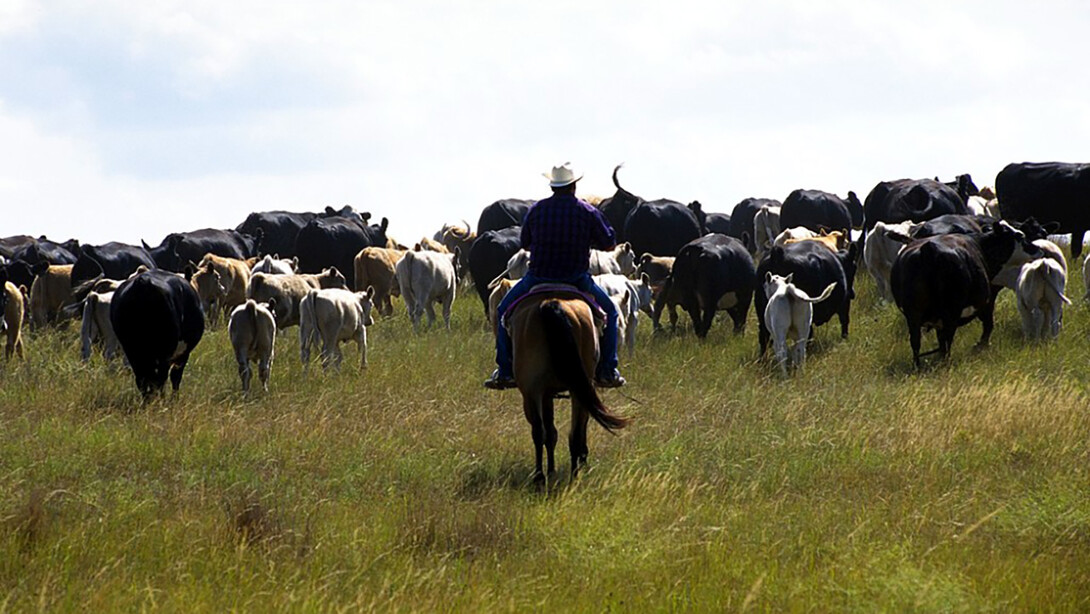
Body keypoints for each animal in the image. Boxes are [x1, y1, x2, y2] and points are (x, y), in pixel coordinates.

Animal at [111, 270, 204, 399]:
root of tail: (143, 282)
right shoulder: (183, 353)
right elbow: (175, 376)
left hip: (132, 349)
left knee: (142, 378)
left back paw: (148, 399)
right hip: (164, 349)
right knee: (160, 378)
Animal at [503, 287, 632, 486]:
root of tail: (550, 303)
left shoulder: (547, 394)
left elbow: (550, 433)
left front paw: (552, 471)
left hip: (533, 391)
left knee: (541, 432)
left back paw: (542, 477)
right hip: (570, 390)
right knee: (572, 433)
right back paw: (573, 474)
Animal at [893, 221, 1037, 364]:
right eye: (1020, 236)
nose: (1037, 249)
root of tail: (929, 248)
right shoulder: (987, 302)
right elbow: (988, 325)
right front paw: (980, 346)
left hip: (914, 314)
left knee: (917, 342)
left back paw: (918, 365)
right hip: (950, 312)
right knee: (947, 339)